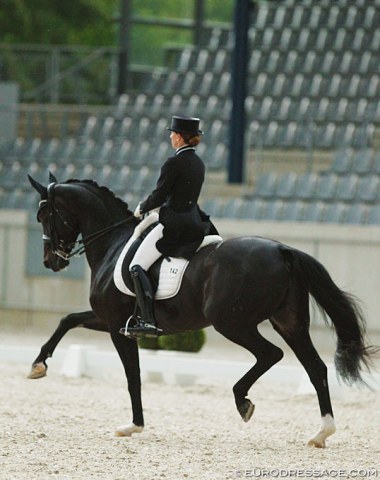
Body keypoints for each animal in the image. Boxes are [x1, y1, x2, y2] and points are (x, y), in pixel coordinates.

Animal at [28, 174, 376, 448]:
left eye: (45, 213)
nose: (50, 261)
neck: (112, 243)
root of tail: (282, 249)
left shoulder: (117, 326)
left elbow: (132, 377)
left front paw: (133, 426)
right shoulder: (111, 320)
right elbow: (68, 320)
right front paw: (38, 366)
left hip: (232, 323)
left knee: (271, 354)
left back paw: (243, 401)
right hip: (289, 322)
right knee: (315, 368)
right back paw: (321, 433)